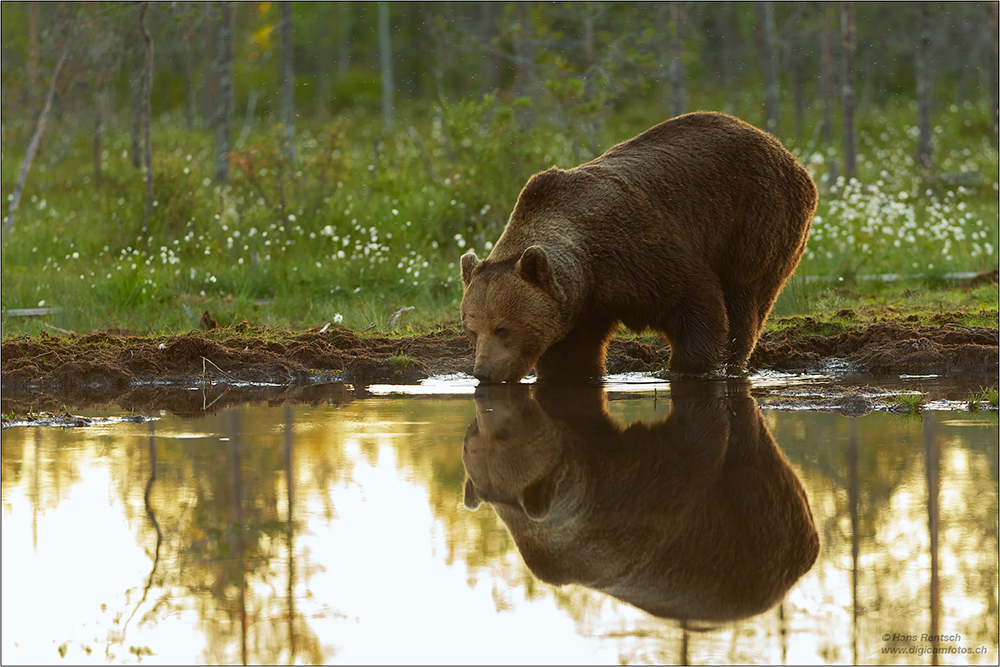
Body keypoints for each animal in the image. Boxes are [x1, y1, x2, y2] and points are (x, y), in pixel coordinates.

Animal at [464, 109, 816, 380]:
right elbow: (572, 358)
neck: (588, 268)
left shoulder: (636, 252)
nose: (483, 373)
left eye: (502, 328)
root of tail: (786, 153)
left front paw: (684, 366)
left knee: (745, 298)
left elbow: (696, 301)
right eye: (472, 330)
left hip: (757, 218)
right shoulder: (583, 307)